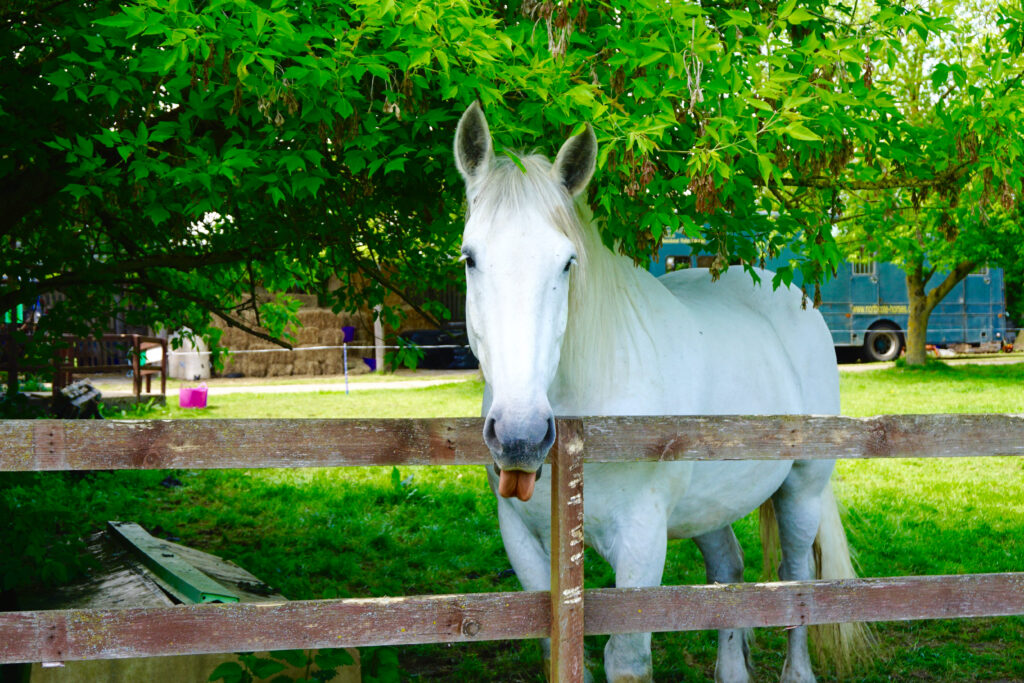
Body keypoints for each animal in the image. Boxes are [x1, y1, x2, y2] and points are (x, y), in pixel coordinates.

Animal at [454, 102, 870, 683]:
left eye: (567, 262)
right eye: (470, 257)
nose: (520, 436)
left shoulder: (641, 542)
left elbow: (627, 659)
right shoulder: (525, 544)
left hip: (802, 489)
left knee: (794, 583)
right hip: (711, 503)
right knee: (727, 574)